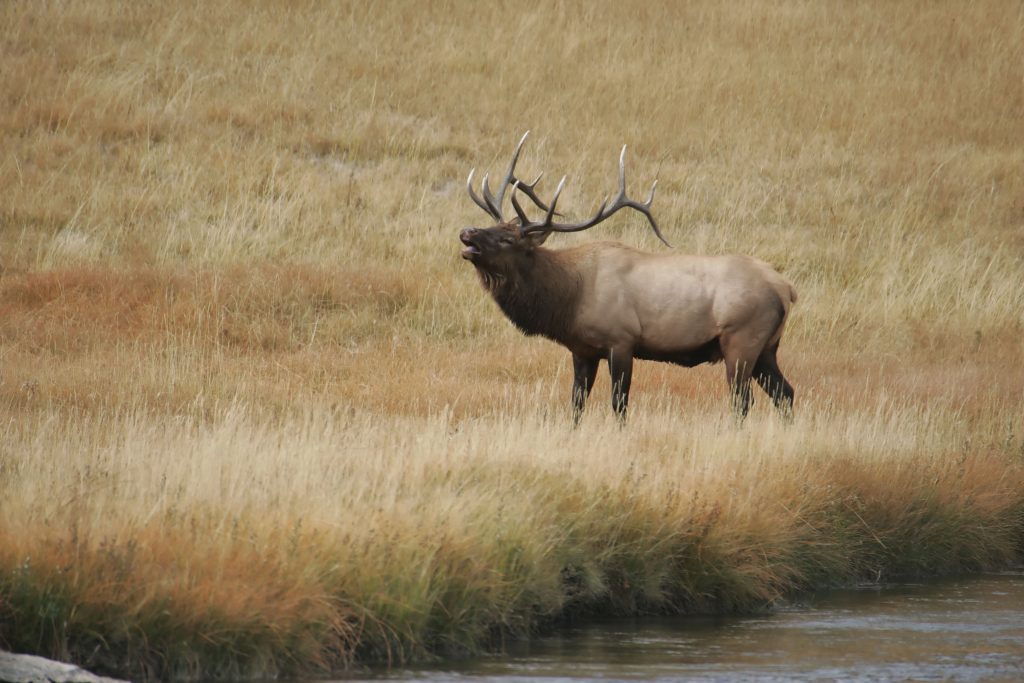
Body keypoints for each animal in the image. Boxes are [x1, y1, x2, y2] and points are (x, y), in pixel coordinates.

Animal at [460, 132, 794, 421]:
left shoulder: (621, 340)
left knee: (743, 400)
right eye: (492, 226)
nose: (467, 232)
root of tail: (787, 290)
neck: (568, 299)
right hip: (766, 348)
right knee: (786, 393)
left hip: (741, 340)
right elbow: (576, 404)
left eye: (509, 239)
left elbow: (619, 404)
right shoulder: (582, 350)